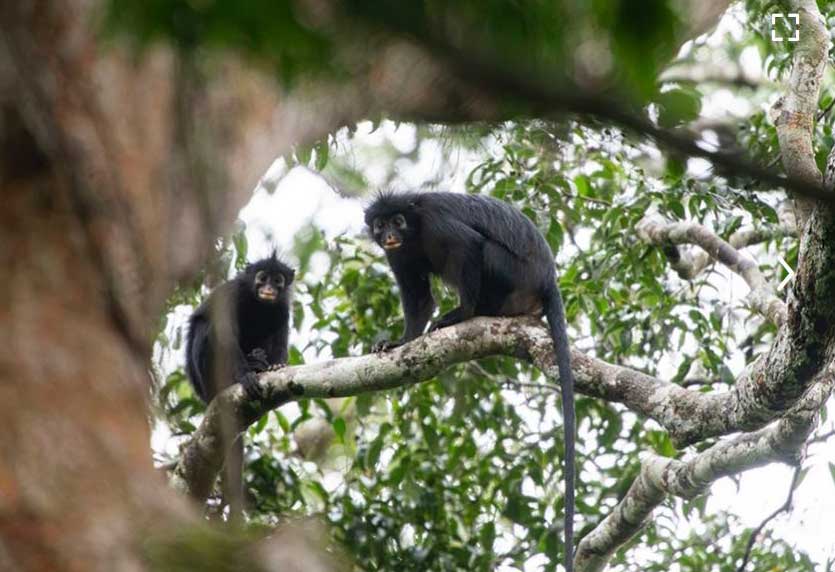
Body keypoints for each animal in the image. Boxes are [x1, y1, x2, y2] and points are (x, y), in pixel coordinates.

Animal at [185, 252, 295, 517]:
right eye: (262, 277)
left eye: (278, 280)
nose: (268, 289)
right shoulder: (232, 294)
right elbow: (225, 335)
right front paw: (245, 376)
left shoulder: (283, 308)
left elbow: (280, 337)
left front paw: (275, 366)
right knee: (206, 327)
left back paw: (259, 363)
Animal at [365, 191, 576, 571]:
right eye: (380, 224)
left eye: (397, 221)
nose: (389, 233)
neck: (414, 231)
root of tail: (547, 278)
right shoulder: (398, 254)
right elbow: (419, 298)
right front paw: (400, 342)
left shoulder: (435, 222)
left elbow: (468, 245)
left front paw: (461, 313)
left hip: (514, 274)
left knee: (486, 250)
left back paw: (474, 312)